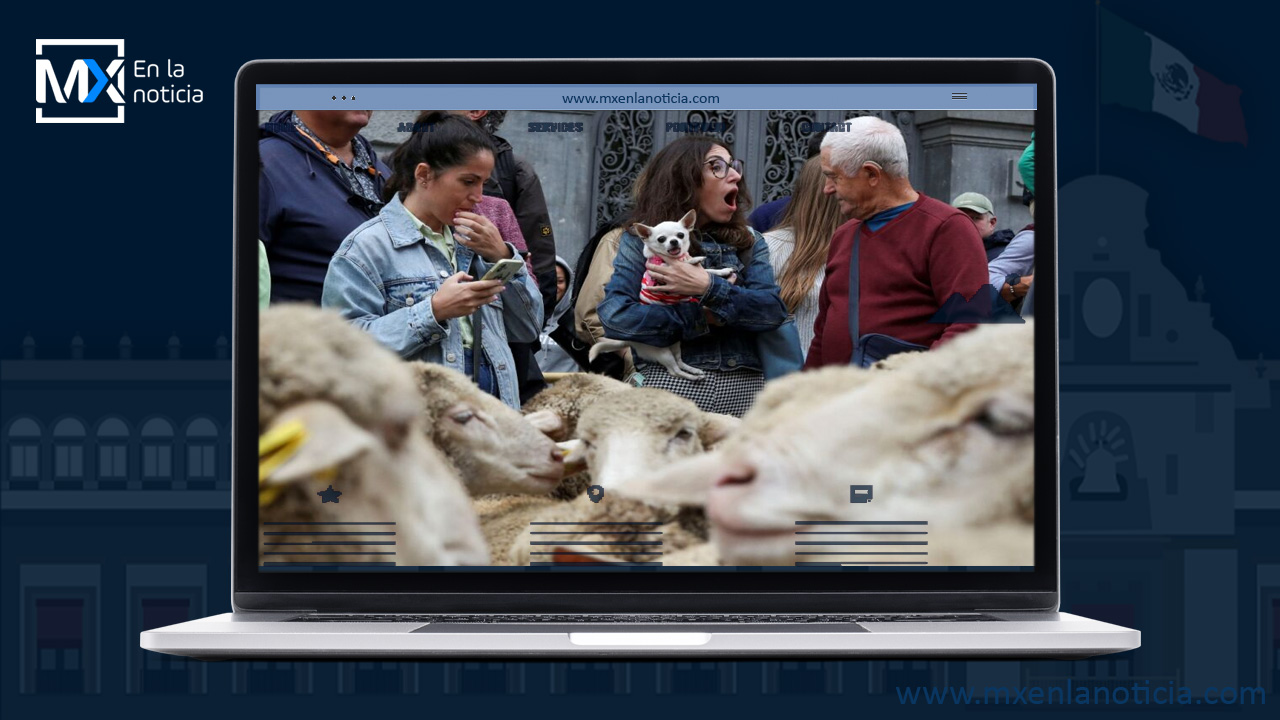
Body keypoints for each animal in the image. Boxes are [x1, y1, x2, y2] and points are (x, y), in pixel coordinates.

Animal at [586, 208, 732, 381]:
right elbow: (680, 264)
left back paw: (694, 371)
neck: (673, 258)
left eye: (680, 235)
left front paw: (723, 271)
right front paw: (694, 259)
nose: (674, 241)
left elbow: (708, 272)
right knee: (674, 370)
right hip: (662, 352)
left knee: (679, 362)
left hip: (674, 344)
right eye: (661, 239)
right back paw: (692, 377)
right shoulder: (661, 276)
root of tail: (629, 341)